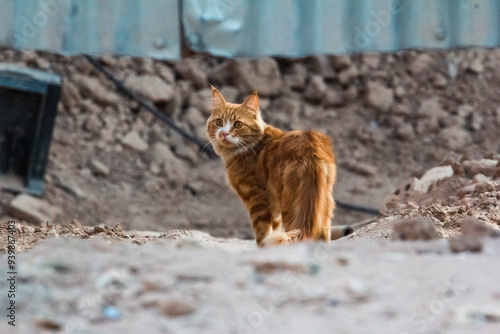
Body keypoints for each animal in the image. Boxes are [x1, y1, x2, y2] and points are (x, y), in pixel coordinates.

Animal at [205, 87, 338, 248]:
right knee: (323, 232)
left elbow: (262, 234)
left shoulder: (258, 200)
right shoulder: (273, 208)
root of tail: (309, 148)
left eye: (238, 124)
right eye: (219, 122)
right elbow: (274, 228)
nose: (224, 133)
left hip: (290, 203)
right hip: (325, 203)